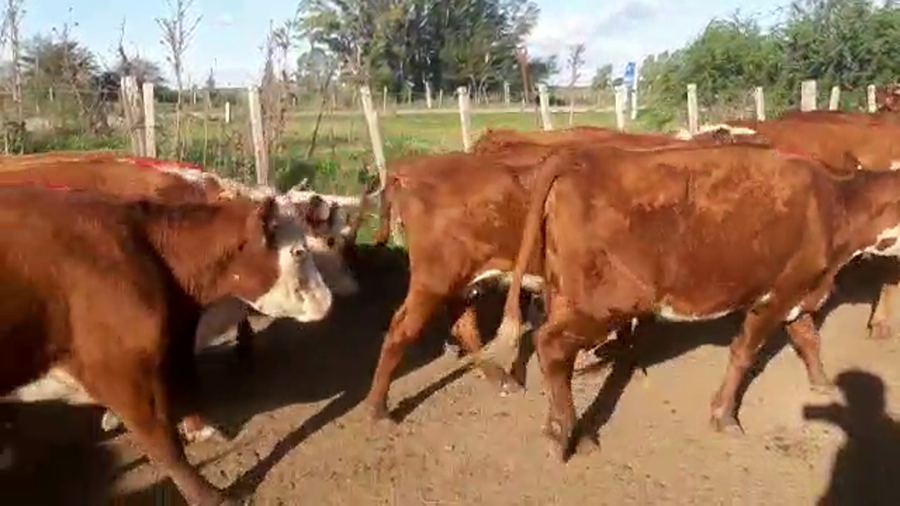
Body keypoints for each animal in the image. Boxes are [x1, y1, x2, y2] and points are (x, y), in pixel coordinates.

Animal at [0, 185, 334, 504]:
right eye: (299, 252)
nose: (328, 301)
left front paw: (202, 430)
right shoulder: (122, 377)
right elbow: (165, 445)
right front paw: (210, 496)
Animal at [468, 142, 900, 460]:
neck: (837, 205)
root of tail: (581, 156)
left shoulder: (797, 292)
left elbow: (809, 339)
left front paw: (825, 383)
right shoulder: (777, 293)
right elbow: (744, 354)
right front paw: (724, 415)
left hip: (565, 295)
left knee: (556, 355)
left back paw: (562, 427)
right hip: (605, 303)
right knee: (551, 345)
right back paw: (568, 436)